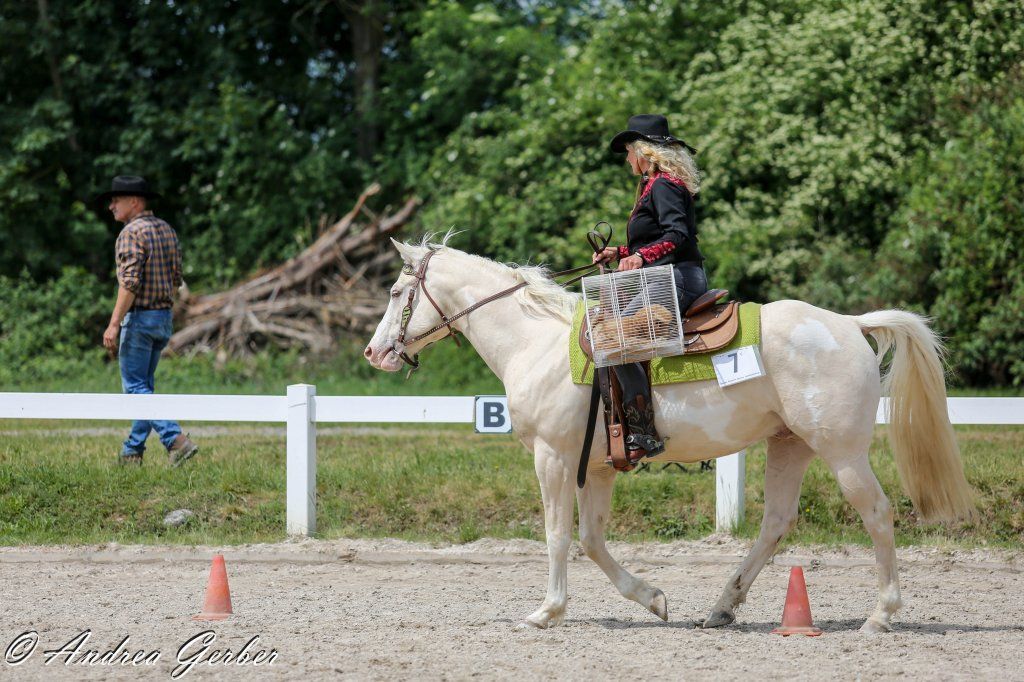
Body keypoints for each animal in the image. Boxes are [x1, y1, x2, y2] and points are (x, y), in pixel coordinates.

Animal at [363, 237, 975, 633]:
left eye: (395, 292)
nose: (374, 352)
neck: (535, 342)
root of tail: (850, 323)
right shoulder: (597, 468)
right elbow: (591, 539)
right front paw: (652, 599)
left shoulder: (553, 458)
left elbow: (558, 535)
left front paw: (547, 612)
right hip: (790, 445)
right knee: (777, 523)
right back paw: (722, 607)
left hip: (842, 452)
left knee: (877, 513)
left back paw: (881, 614)